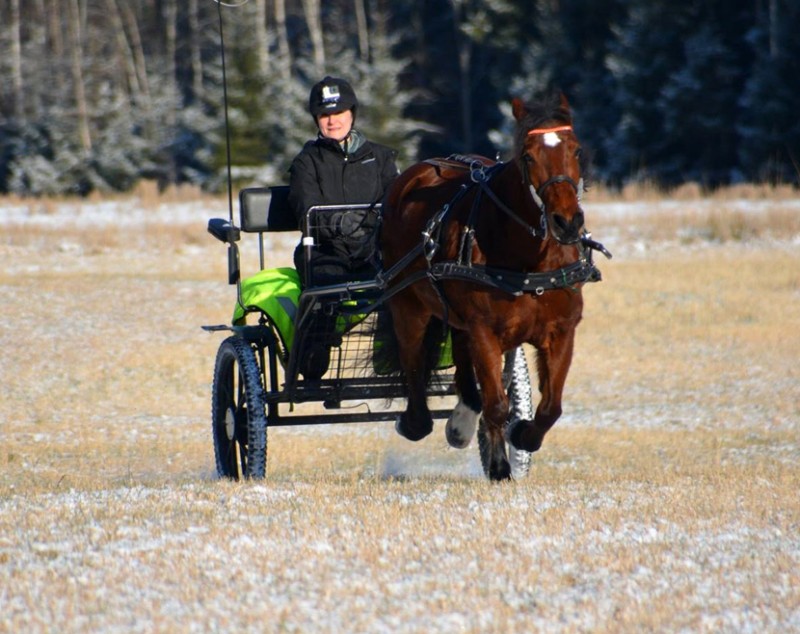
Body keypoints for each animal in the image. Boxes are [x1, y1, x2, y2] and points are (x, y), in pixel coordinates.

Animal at [378, 92, 608, 478]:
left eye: (576, 150)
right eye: (528, 156)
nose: (566, 222)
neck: (529, 261)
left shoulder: (561, 330)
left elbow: (550, 407)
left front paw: (523, 434)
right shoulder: (485, 330)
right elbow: (497, 404)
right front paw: (501, 466)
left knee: (463, 365)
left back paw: (461, 420)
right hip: (408, 303)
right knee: (413, 363)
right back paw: (416, 421)